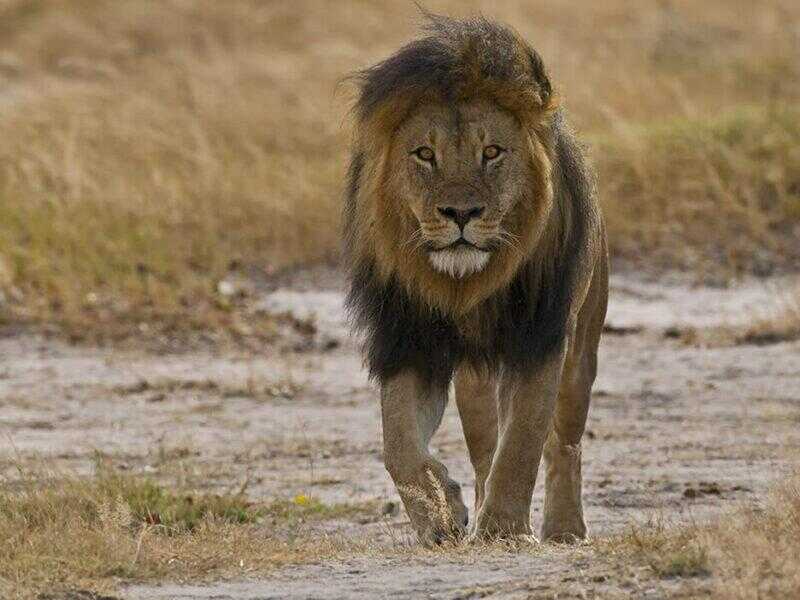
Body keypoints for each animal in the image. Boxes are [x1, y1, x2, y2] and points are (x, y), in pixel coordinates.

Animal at [343, 14, 608, 546]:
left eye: (492, 152)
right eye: (425, 154)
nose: (460, 213)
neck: (464, 288)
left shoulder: (540, 340)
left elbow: (524, 442)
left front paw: (504, 529)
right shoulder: (408, 341)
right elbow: (398, 446)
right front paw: (441, 515)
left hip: (581, 351)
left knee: (563, 443)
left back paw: (564, 528)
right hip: (475, 380)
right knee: (485, 449)